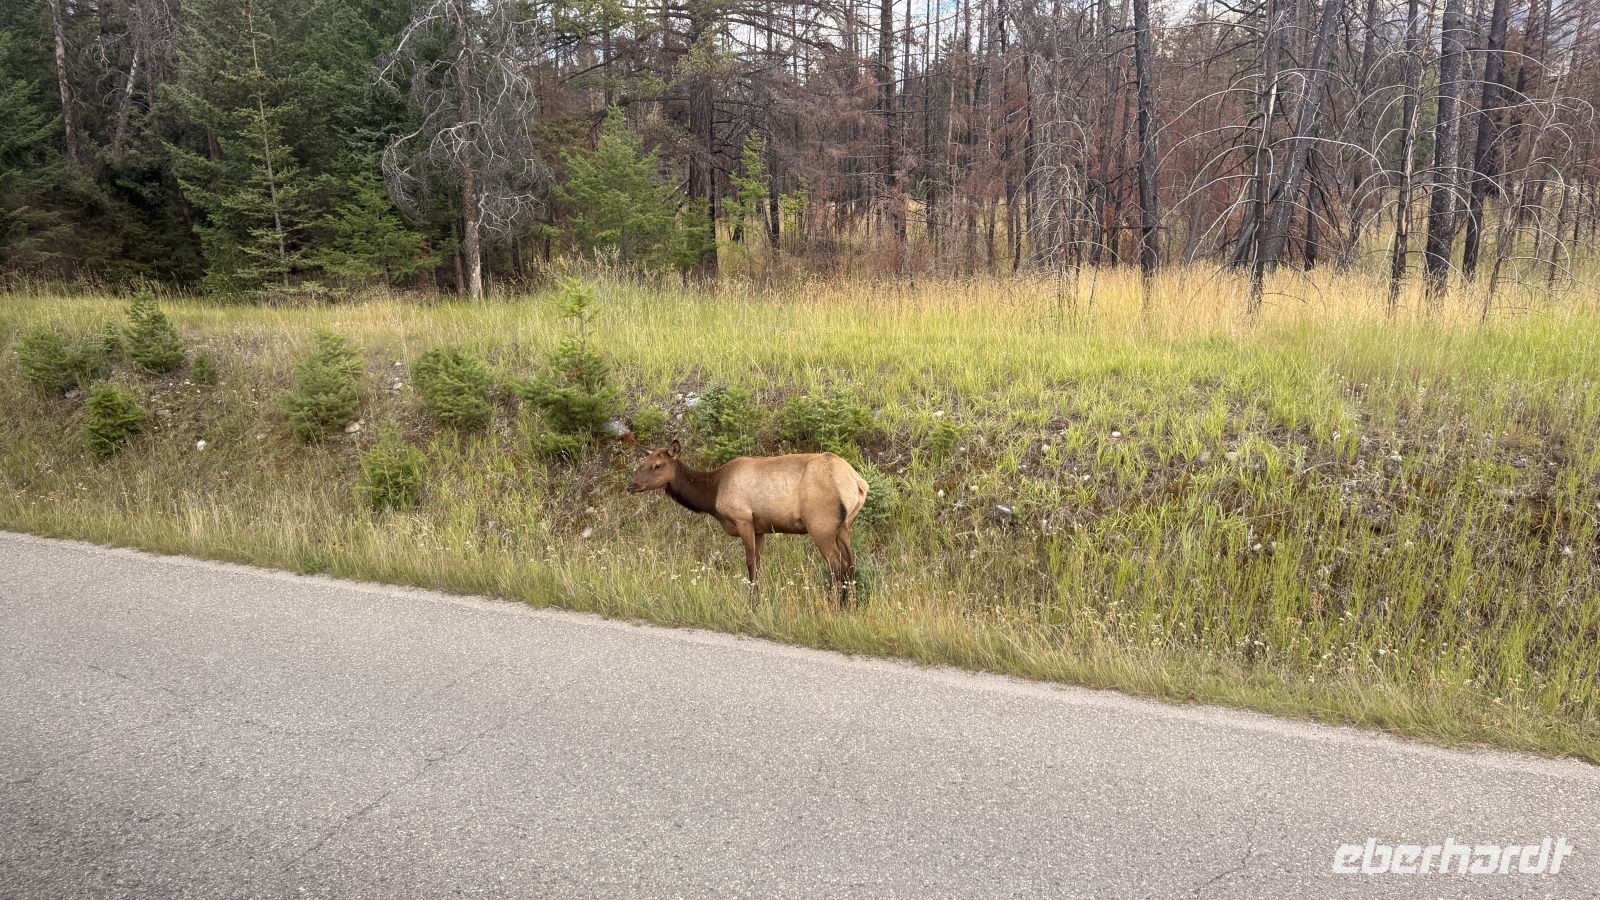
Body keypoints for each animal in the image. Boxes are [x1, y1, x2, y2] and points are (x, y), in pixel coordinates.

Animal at [626, 440, 869, 605]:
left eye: (658, 465)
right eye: (643, 463)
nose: (631, 486)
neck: (712, 494)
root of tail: (858, 483)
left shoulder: (743, 519)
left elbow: (750, 564)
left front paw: (752, 604)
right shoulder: (760, 527)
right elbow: (759, 565)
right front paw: (757, 601)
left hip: (821, 525)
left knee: (836, 564)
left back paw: (833, 605)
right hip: (845, 526)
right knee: (851, 562)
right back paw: (850, 606)